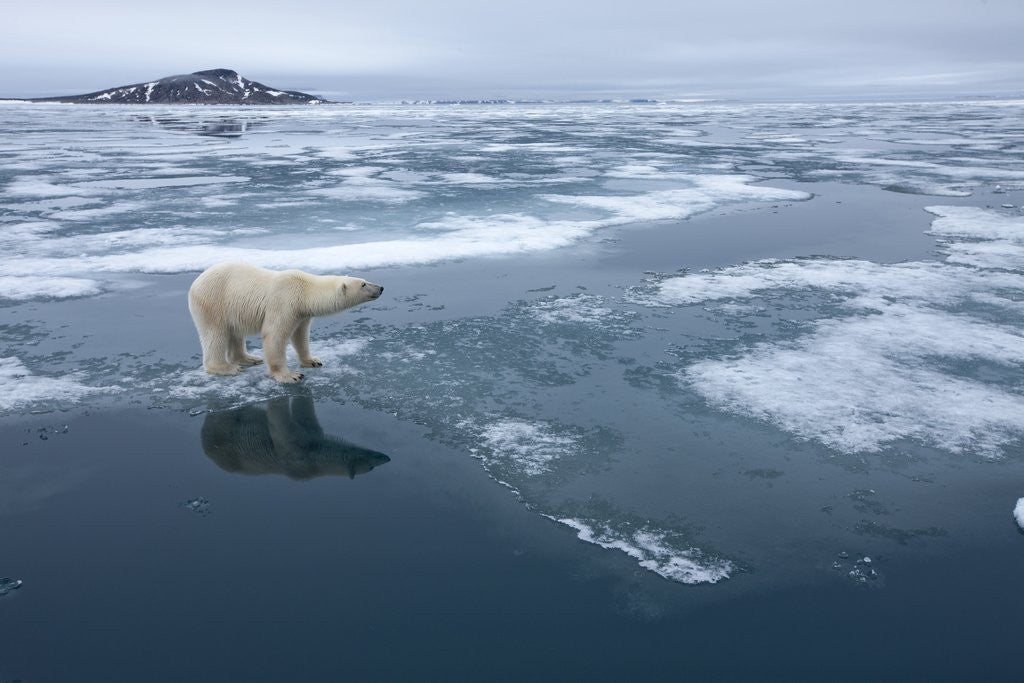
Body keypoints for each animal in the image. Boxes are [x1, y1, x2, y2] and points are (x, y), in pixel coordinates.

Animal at [186, 259, 382, 382]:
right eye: (363, 284)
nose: (381, 287)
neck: (305, 290)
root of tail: (195, 283)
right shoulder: (284, 302)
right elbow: (274, 335)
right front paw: (290, 376)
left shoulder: (301, 313)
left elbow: (301, 336)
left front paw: (312, 361)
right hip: (213, 302)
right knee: (215, 334)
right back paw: (226, 368)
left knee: (236, 333)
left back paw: (249, 358)